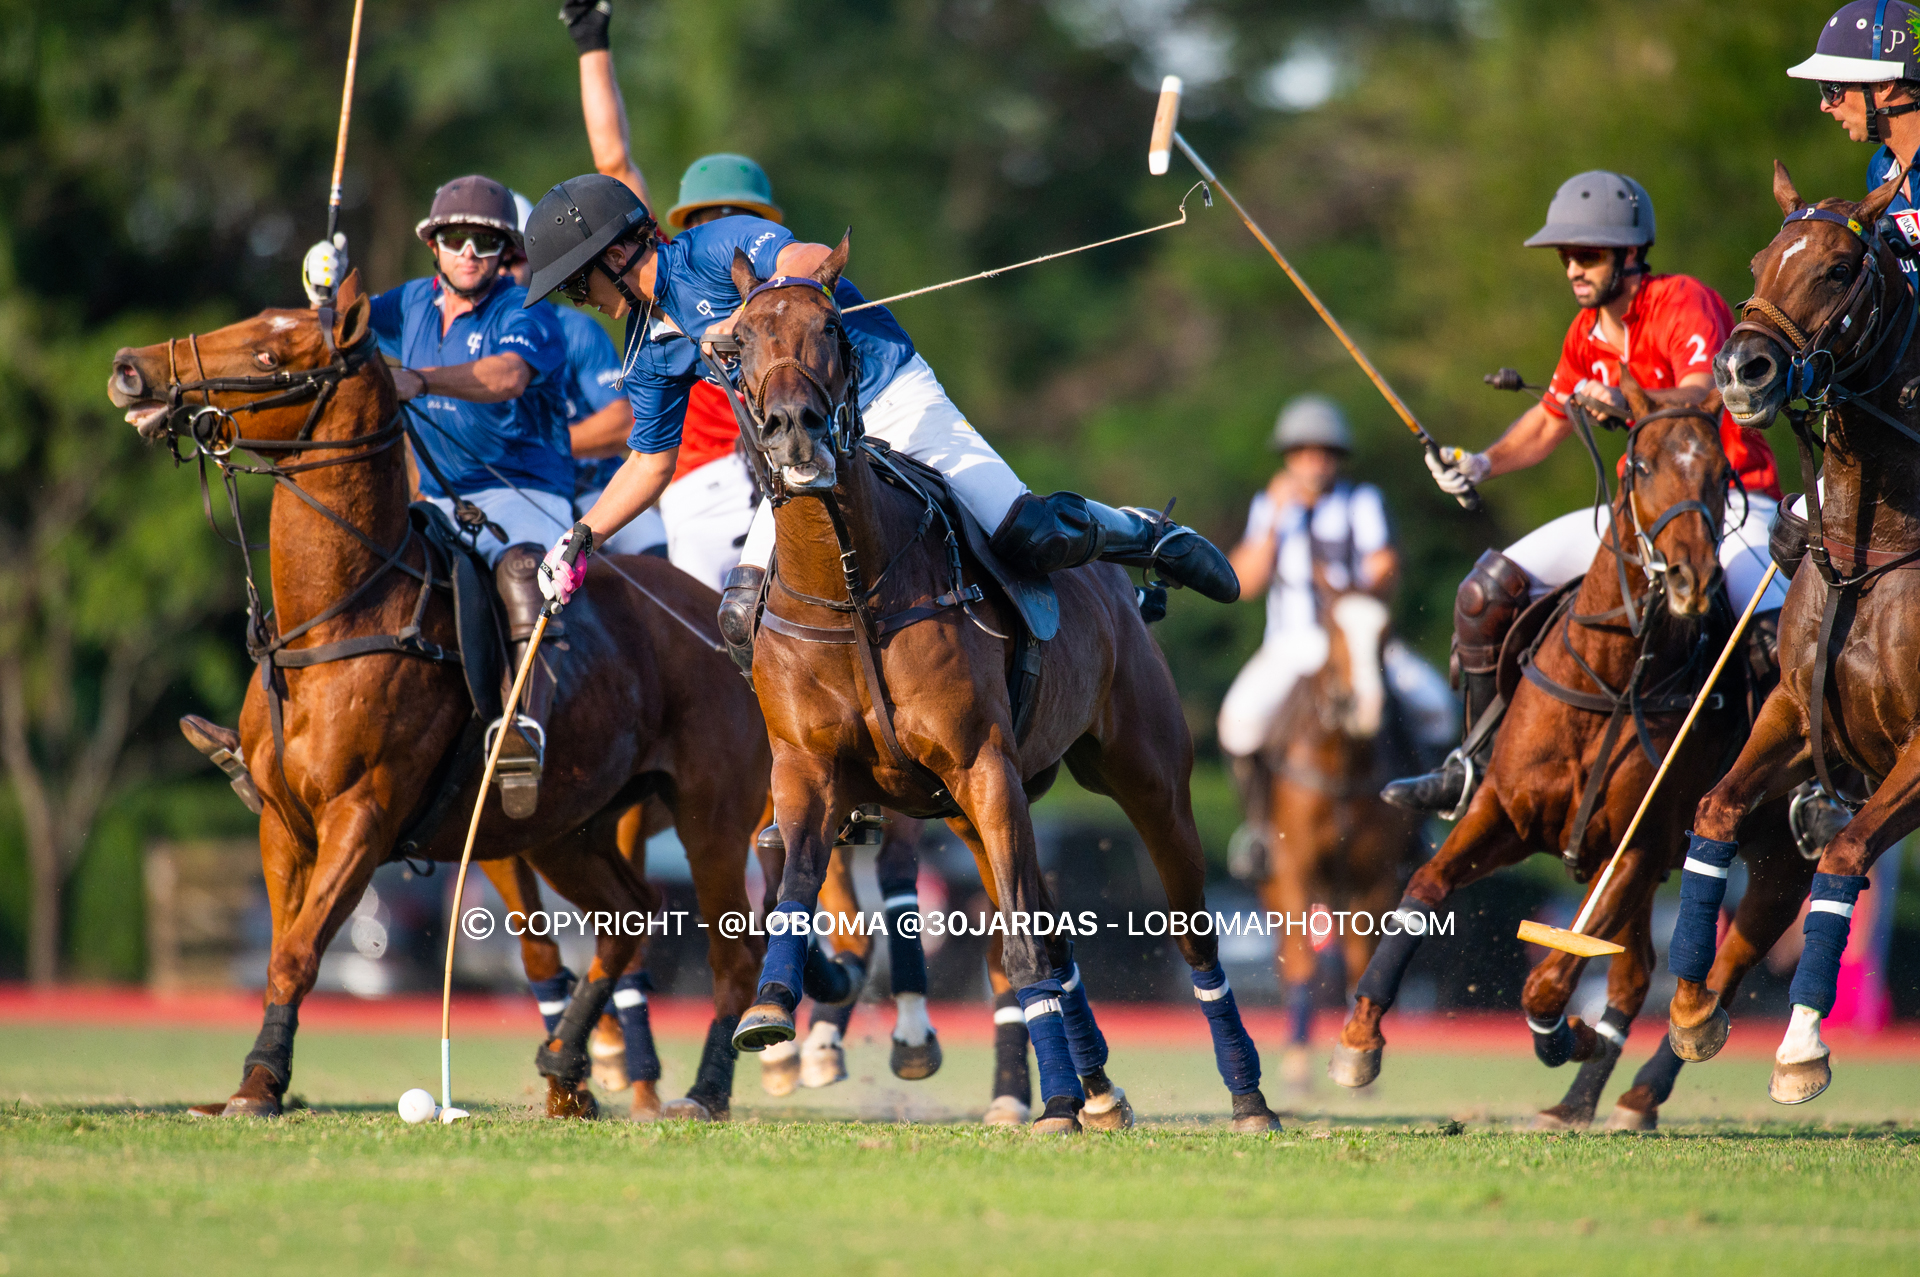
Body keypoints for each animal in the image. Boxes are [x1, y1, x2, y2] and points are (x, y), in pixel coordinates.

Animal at [108, 268, 768, 1113]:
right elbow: (281, 948)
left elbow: (300, 950)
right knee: (631, 916)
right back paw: (565, 1066)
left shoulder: (363, 815)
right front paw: (257, 1080)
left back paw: (704, 1089)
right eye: (253, 320)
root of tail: (724, 618)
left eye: (270, 355)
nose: (131, 368)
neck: (344, 611)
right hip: (563, 823)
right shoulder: (283, 823)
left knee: (732, 956)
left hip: (712, 816)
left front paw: (261, 1084)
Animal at [718, 241, 1274, 1136]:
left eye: (832, 326)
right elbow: (795, 880)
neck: (853, 588)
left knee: (1189, 930)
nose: (794, 427)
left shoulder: (983, 761)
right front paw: (769, 1008)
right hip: (974, 810)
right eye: (736, 345)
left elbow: (1017, 942)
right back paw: (1093, 1087)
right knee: (1051, 931)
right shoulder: (807, 767)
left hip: (1144, 777)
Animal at [1328, 391, 1804, 1129]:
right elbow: (1425, 890)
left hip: (1779, 855)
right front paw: (1359, 1039)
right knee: (1636, 973)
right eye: (1640, 465)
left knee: (1723, 968)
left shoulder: (1637, 846)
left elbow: (1548, 983)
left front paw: (1568, 1037)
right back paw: (1581, 1101)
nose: (1692, 576)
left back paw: (1643, 1086)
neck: (1608, 678)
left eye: (1722, 473)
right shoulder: (1505, 813)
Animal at [1681, 159, 1920, 1098]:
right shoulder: (1794, 706)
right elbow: (1714, 808)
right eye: (1759, 259)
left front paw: (1801, 1048)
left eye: (1838, 268)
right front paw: (1695, 1004)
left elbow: (1845, 855)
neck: (1871, 546)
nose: (1741, 370)